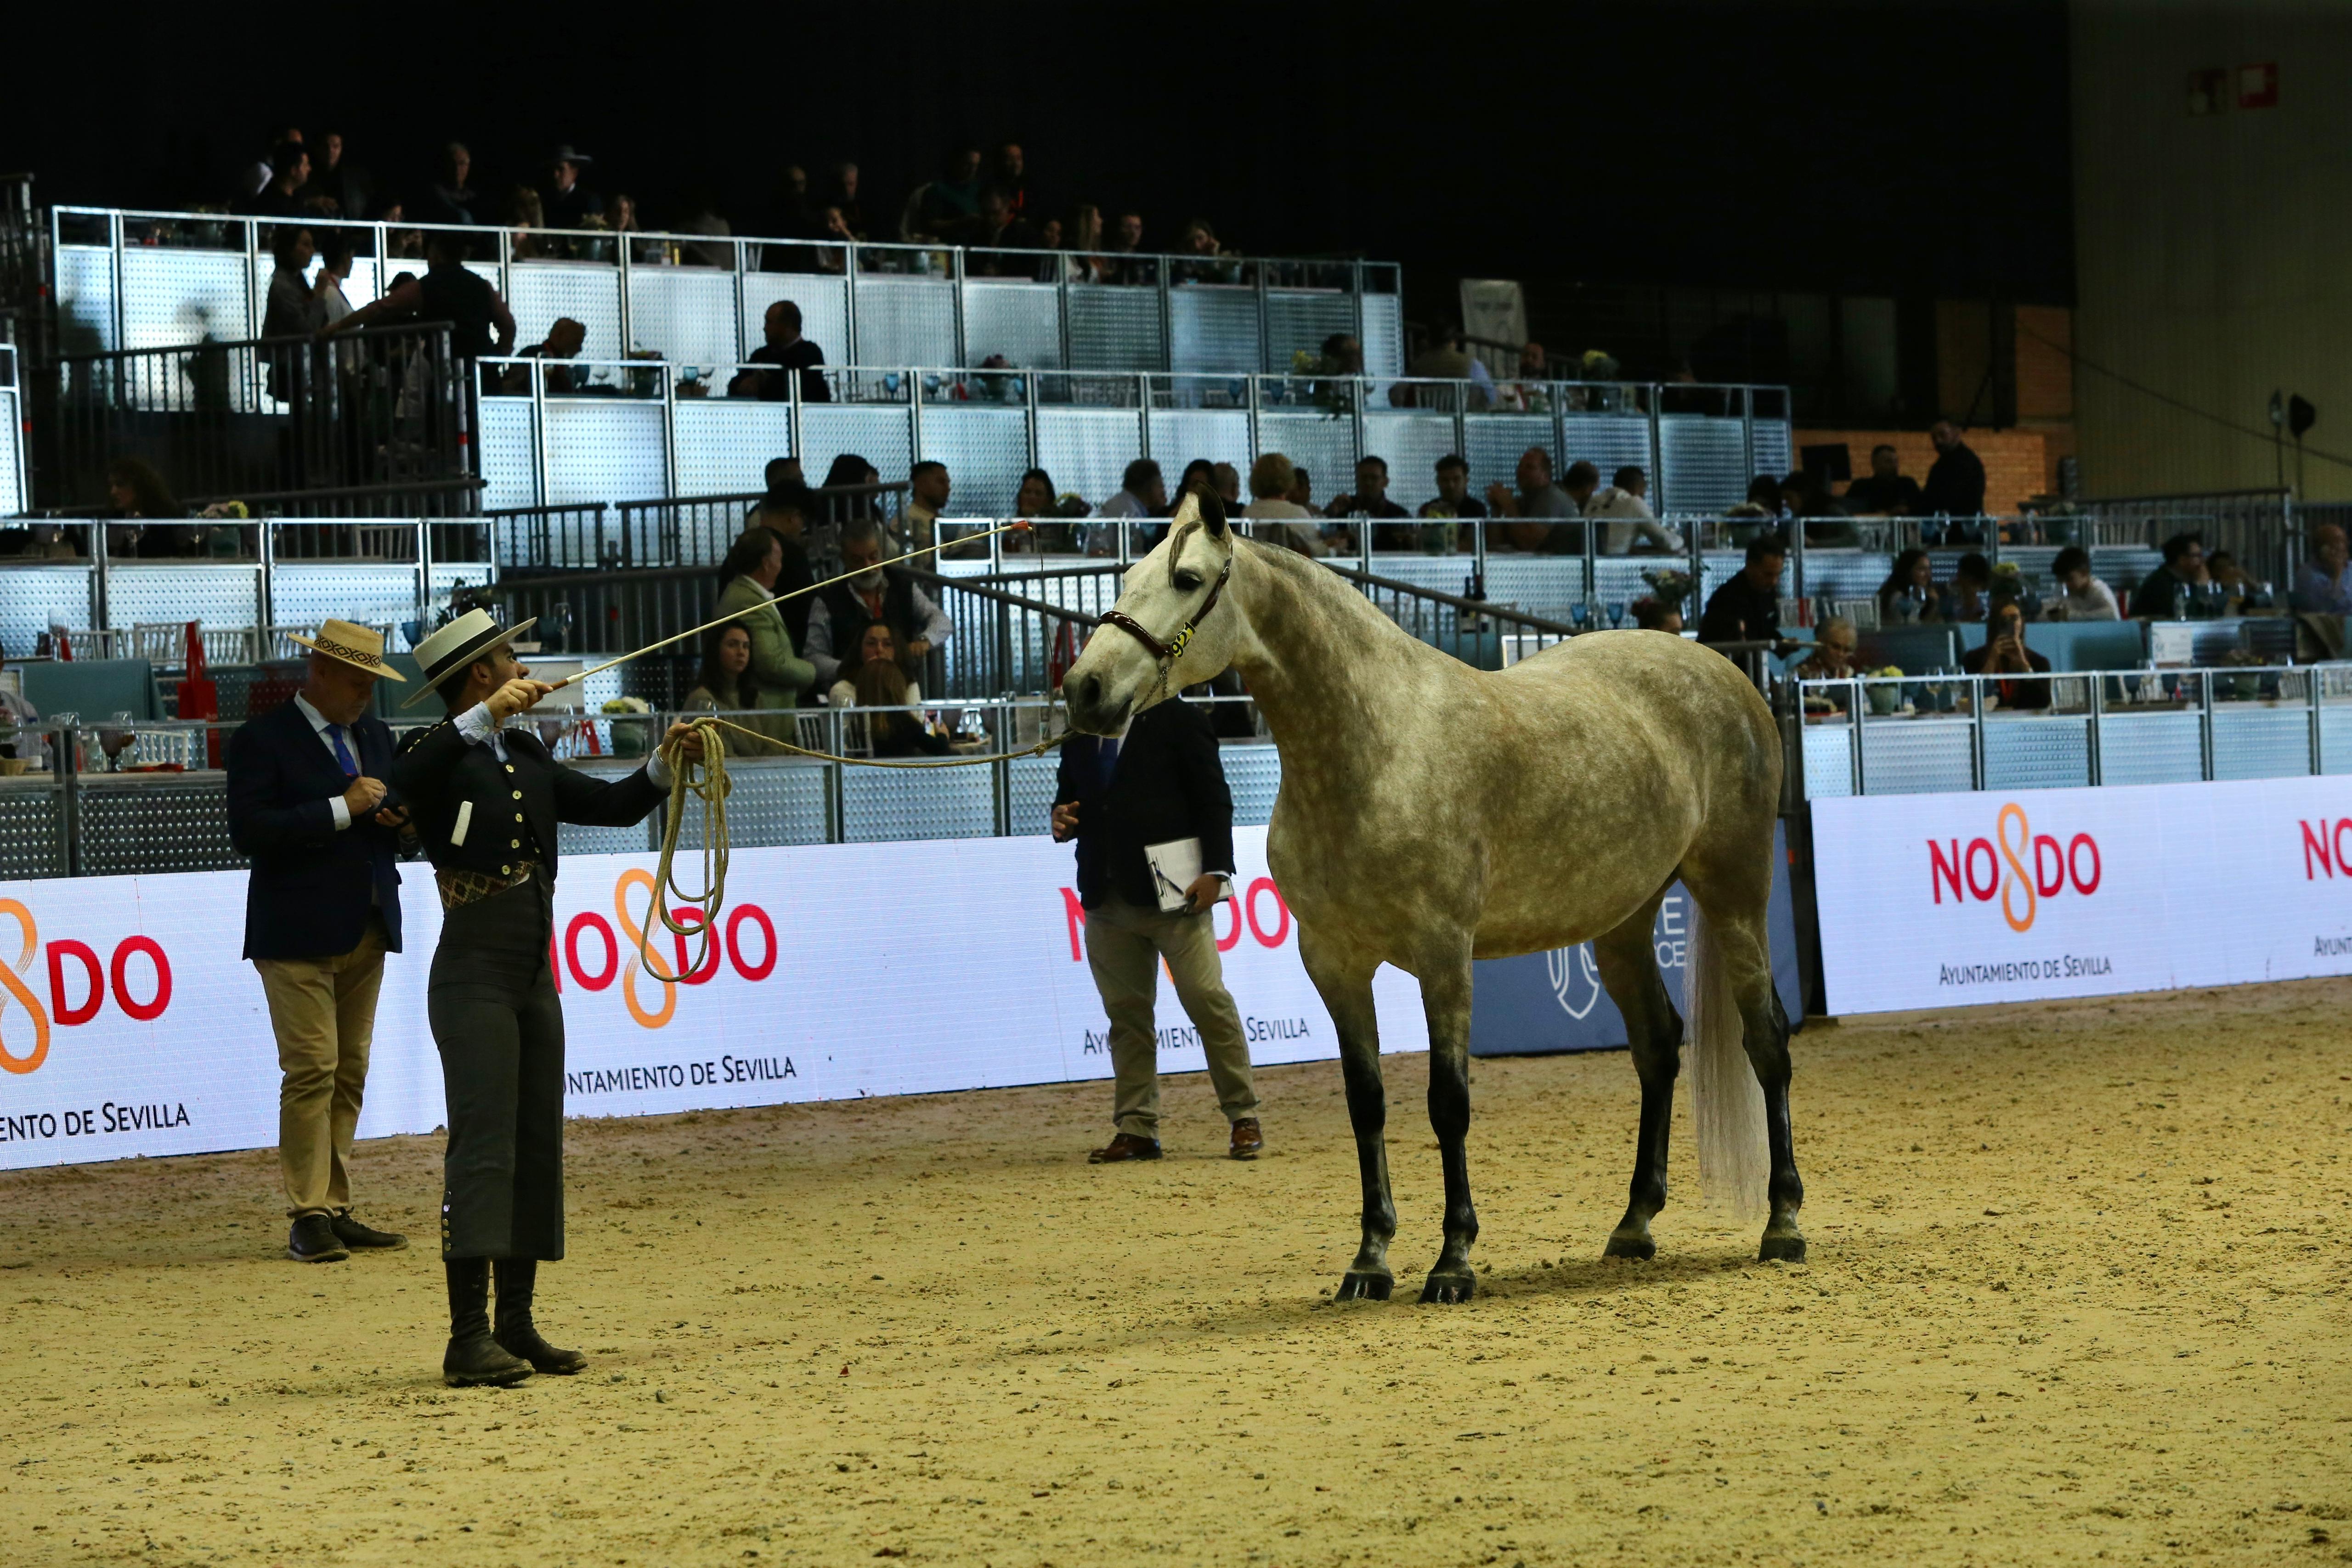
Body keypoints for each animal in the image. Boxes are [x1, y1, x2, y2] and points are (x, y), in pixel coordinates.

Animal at [1068, 496, 1797, 1307]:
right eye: (1127, 578)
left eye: (1188, 579)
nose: (1085, 688)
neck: (1378, 746)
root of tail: (1725, 673)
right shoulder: (1335, 962)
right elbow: (1367, 1102)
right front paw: (1370, 1259)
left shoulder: (1444, 956)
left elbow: (1448, 1103)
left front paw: (1453, 1261)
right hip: (1624, 923)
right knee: (1658, 1046)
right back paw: (1634, 1224)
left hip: (1736, 893)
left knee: (1766, 1040)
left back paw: (1782, 1223)